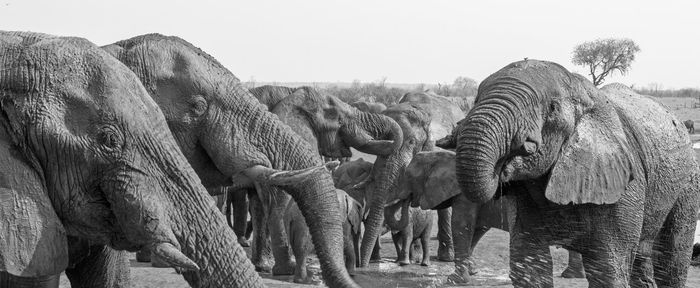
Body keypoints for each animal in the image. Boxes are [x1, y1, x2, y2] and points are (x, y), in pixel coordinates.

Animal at [394, 148, 584, 284]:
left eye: (408, 176)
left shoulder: (465, 195)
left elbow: (462, 226)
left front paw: (455, 280)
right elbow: (476, 229)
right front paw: (472, 272)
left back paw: (570, 276)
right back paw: (573, 275)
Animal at [452, 59, 696, 286]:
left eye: (552, 108)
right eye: (476, 100)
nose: (503, 164)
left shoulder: (622, 182)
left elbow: (607, 269)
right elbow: (529, 263)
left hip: (689, 179)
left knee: (673, 255)